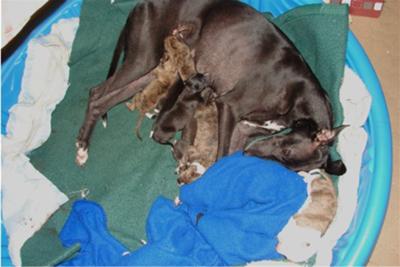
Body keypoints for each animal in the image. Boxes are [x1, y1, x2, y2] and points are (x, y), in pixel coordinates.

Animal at [76, 0, 346, 176]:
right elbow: (221, 157)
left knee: (104, 97)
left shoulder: (244, 130)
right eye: (288, 152)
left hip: (156, 70)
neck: (300, 92)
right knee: (97, 94)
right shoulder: (229, 107)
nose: (249, 154)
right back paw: (83, 146)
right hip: (142, 60)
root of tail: (141, 4)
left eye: (290, 168)